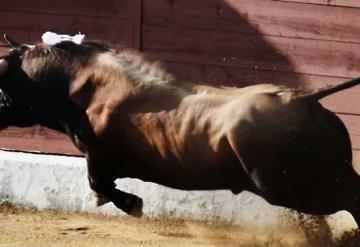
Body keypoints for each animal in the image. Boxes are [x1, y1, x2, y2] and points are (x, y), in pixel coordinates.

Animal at [0, 34, 360, 226]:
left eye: (3, 83)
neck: (82, 84)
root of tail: (301, 99)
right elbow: (100, 186)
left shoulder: (98, 154)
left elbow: (98, 183)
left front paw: (133, 206)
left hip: (292, 187)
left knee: (351, 198)